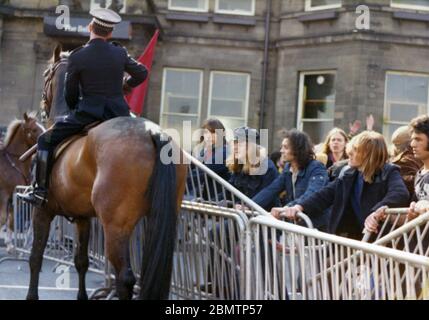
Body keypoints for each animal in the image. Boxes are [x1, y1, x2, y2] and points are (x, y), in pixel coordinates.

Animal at [0, 114, 44, 251]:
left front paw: (9, 244)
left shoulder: (14, 196)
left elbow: (11, 219)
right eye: (34, 129)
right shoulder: (4, 195)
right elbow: (3, 218)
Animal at [25, 45, 186, 300]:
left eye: (45, 74)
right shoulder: (82, 217)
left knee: (125, 277)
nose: (41, 110)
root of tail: (153, 132)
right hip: (159, 219)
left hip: (116, 227)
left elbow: (36, 257)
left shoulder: (42, 210)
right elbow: (81, 261)